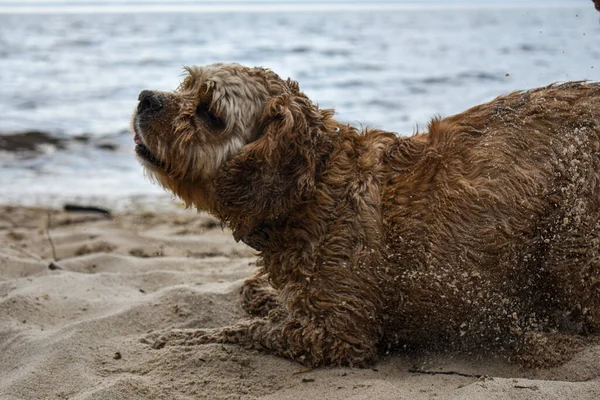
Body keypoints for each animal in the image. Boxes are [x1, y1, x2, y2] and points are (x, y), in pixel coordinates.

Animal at [134, 64, 600, 368]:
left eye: (209, 112)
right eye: (185, 85)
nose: (144, 97)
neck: (315, 183)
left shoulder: (338, 336)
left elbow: (243, 331)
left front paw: (171, 337)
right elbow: (262, 299)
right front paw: (263, 294)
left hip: (572, 236)